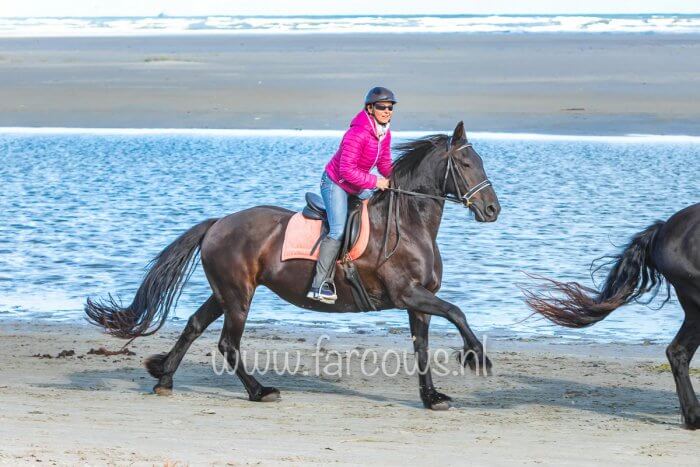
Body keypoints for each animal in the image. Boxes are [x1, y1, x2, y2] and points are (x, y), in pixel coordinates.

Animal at [87, 123, 500, 410]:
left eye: (481, 162)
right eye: (466, 163)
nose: (493, 209)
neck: (406, 224)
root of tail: (218, 223)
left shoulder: (419, 302)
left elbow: (423, 348)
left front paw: (432, 397)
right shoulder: (408, 294)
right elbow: (457, 311)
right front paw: (476, 357)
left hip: (224, 292)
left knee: (193, 326)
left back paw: (164, 378)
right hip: (239, 296)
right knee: (227, 343)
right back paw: (260, 391)